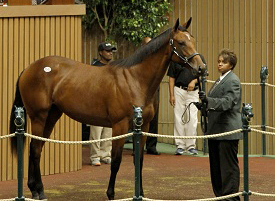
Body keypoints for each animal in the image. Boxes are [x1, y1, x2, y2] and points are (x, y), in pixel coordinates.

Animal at [9, 18, 207, 200]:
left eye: (193, 39)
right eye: (181, 42)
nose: (201, 68)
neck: (135, 79)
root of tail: (29, 68)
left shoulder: (143, 127)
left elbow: (139, 160)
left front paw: (141, 193)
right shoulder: (120, 126)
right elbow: (116, 161)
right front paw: (111, 193)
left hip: (51, 116)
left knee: (37, 148)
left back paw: (34, 188)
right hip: (39, 117)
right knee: (35, 149)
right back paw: (39, 190)